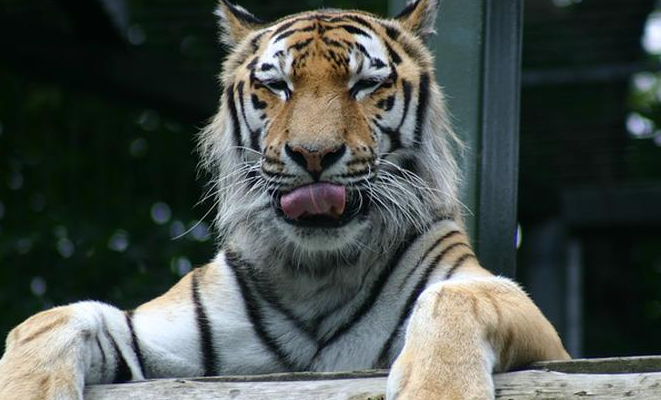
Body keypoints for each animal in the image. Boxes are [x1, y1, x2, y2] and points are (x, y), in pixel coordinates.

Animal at [0, 0, 570, 399]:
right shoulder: (156, 334)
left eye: (365, 84)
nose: (313, 154)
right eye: (277, 85)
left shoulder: (536, 330)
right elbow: (53, 319)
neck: (320, 271)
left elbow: (454, 297)